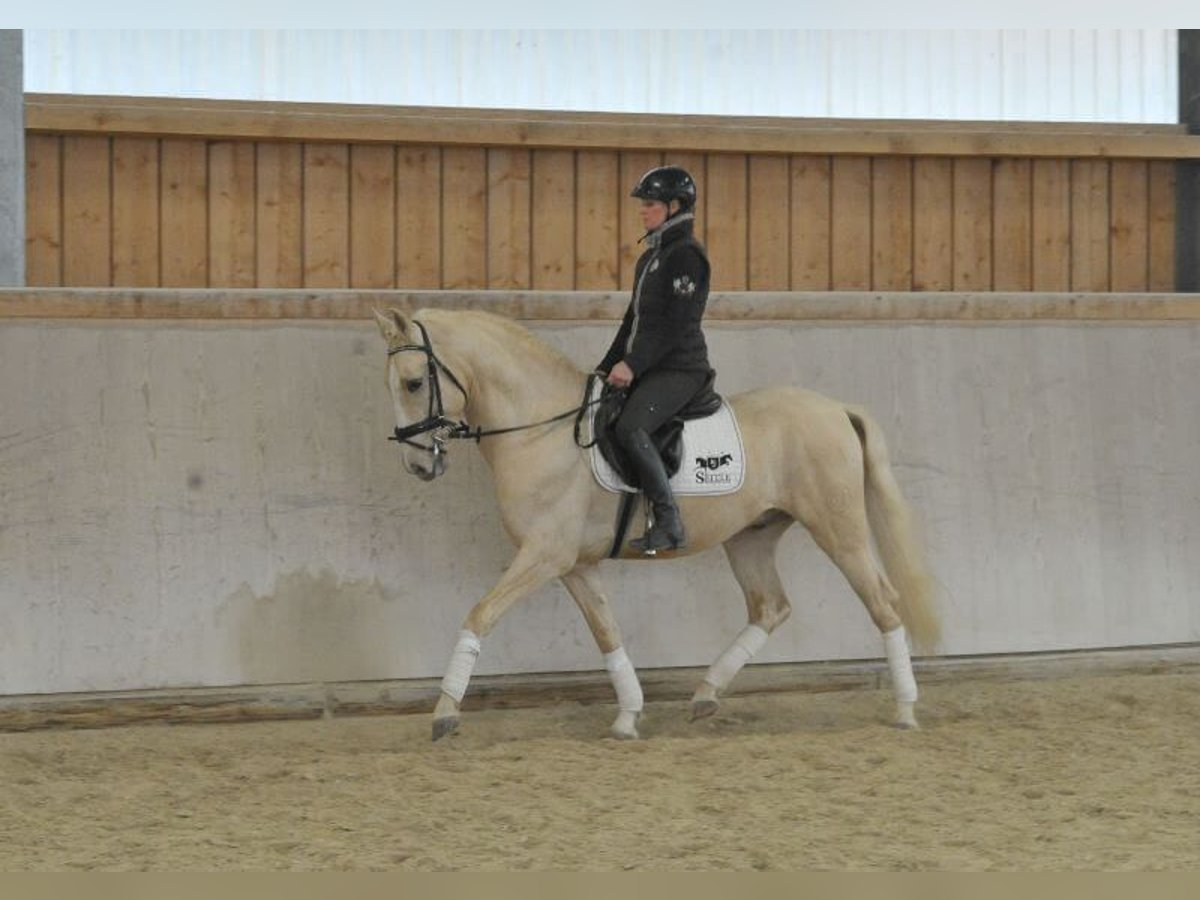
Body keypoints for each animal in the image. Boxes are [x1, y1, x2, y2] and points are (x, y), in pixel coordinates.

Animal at [372, 307, 936, 744]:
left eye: (414, 382)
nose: (418, 465)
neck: (541, 431)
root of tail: (836, 409)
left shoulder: (544, 555)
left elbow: (479, 615)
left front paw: (445, 713)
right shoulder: (575, 565)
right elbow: (607, 633)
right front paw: (627, 716)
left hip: (838, 530)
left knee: (883, 604)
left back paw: (906, 710)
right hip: (750, 538)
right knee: (770, 607)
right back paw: (706, 695)